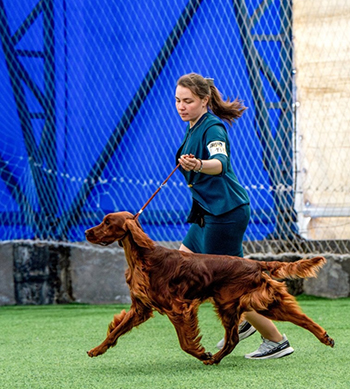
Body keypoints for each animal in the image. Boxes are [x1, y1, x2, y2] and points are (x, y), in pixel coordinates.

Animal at [84, 211, 334, 362]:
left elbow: (185, 342)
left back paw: (213, 359)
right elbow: (115, 331)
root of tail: (255, 263)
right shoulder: (141, 308)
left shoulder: (178, 308)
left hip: (229, 304)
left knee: (233, 339)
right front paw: (97, 349)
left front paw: (201, 353)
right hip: (261, 303)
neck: (142, 258)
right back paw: (326, 337)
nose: (86, 232)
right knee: (302, 319)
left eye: (107, 222)